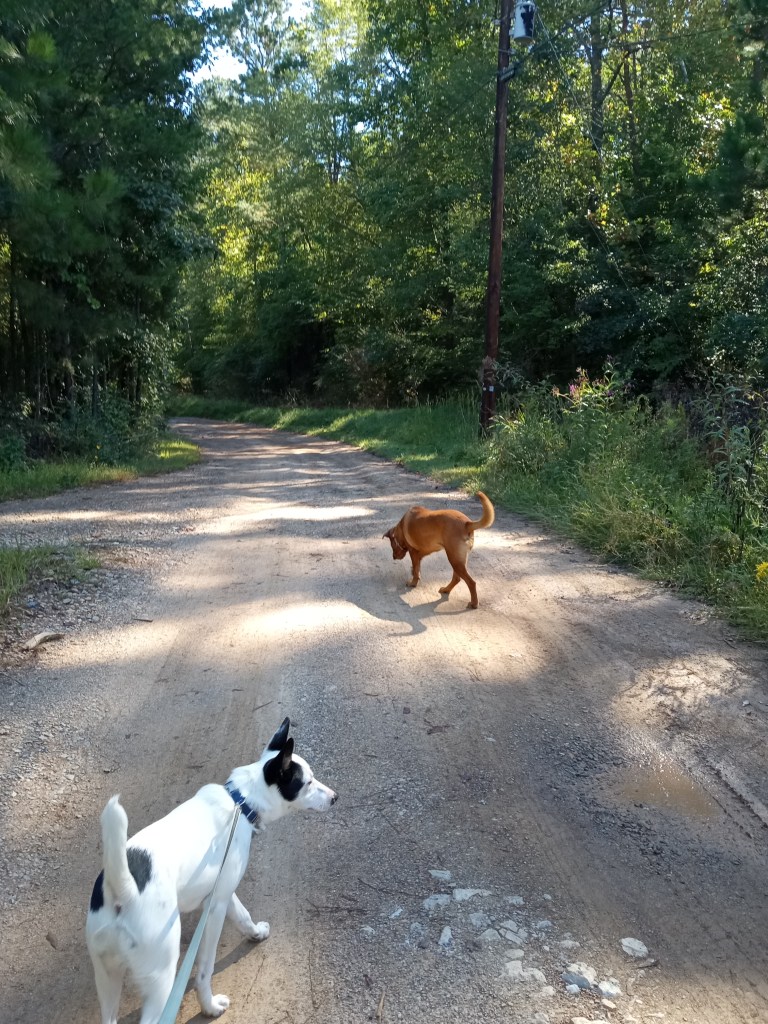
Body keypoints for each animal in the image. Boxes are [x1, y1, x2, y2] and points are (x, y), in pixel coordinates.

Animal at [86, 717, 337, 1024]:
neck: (241, 802)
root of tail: (122, 891)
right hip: (160, 977)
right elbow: (205, 970)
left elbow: (243, 916)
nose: (335, 797)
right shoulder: (215, 908)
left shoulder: (222, 892)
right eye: (308, 783)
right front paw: (210, 1005)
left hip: (106, 977)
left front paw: (256, 933)